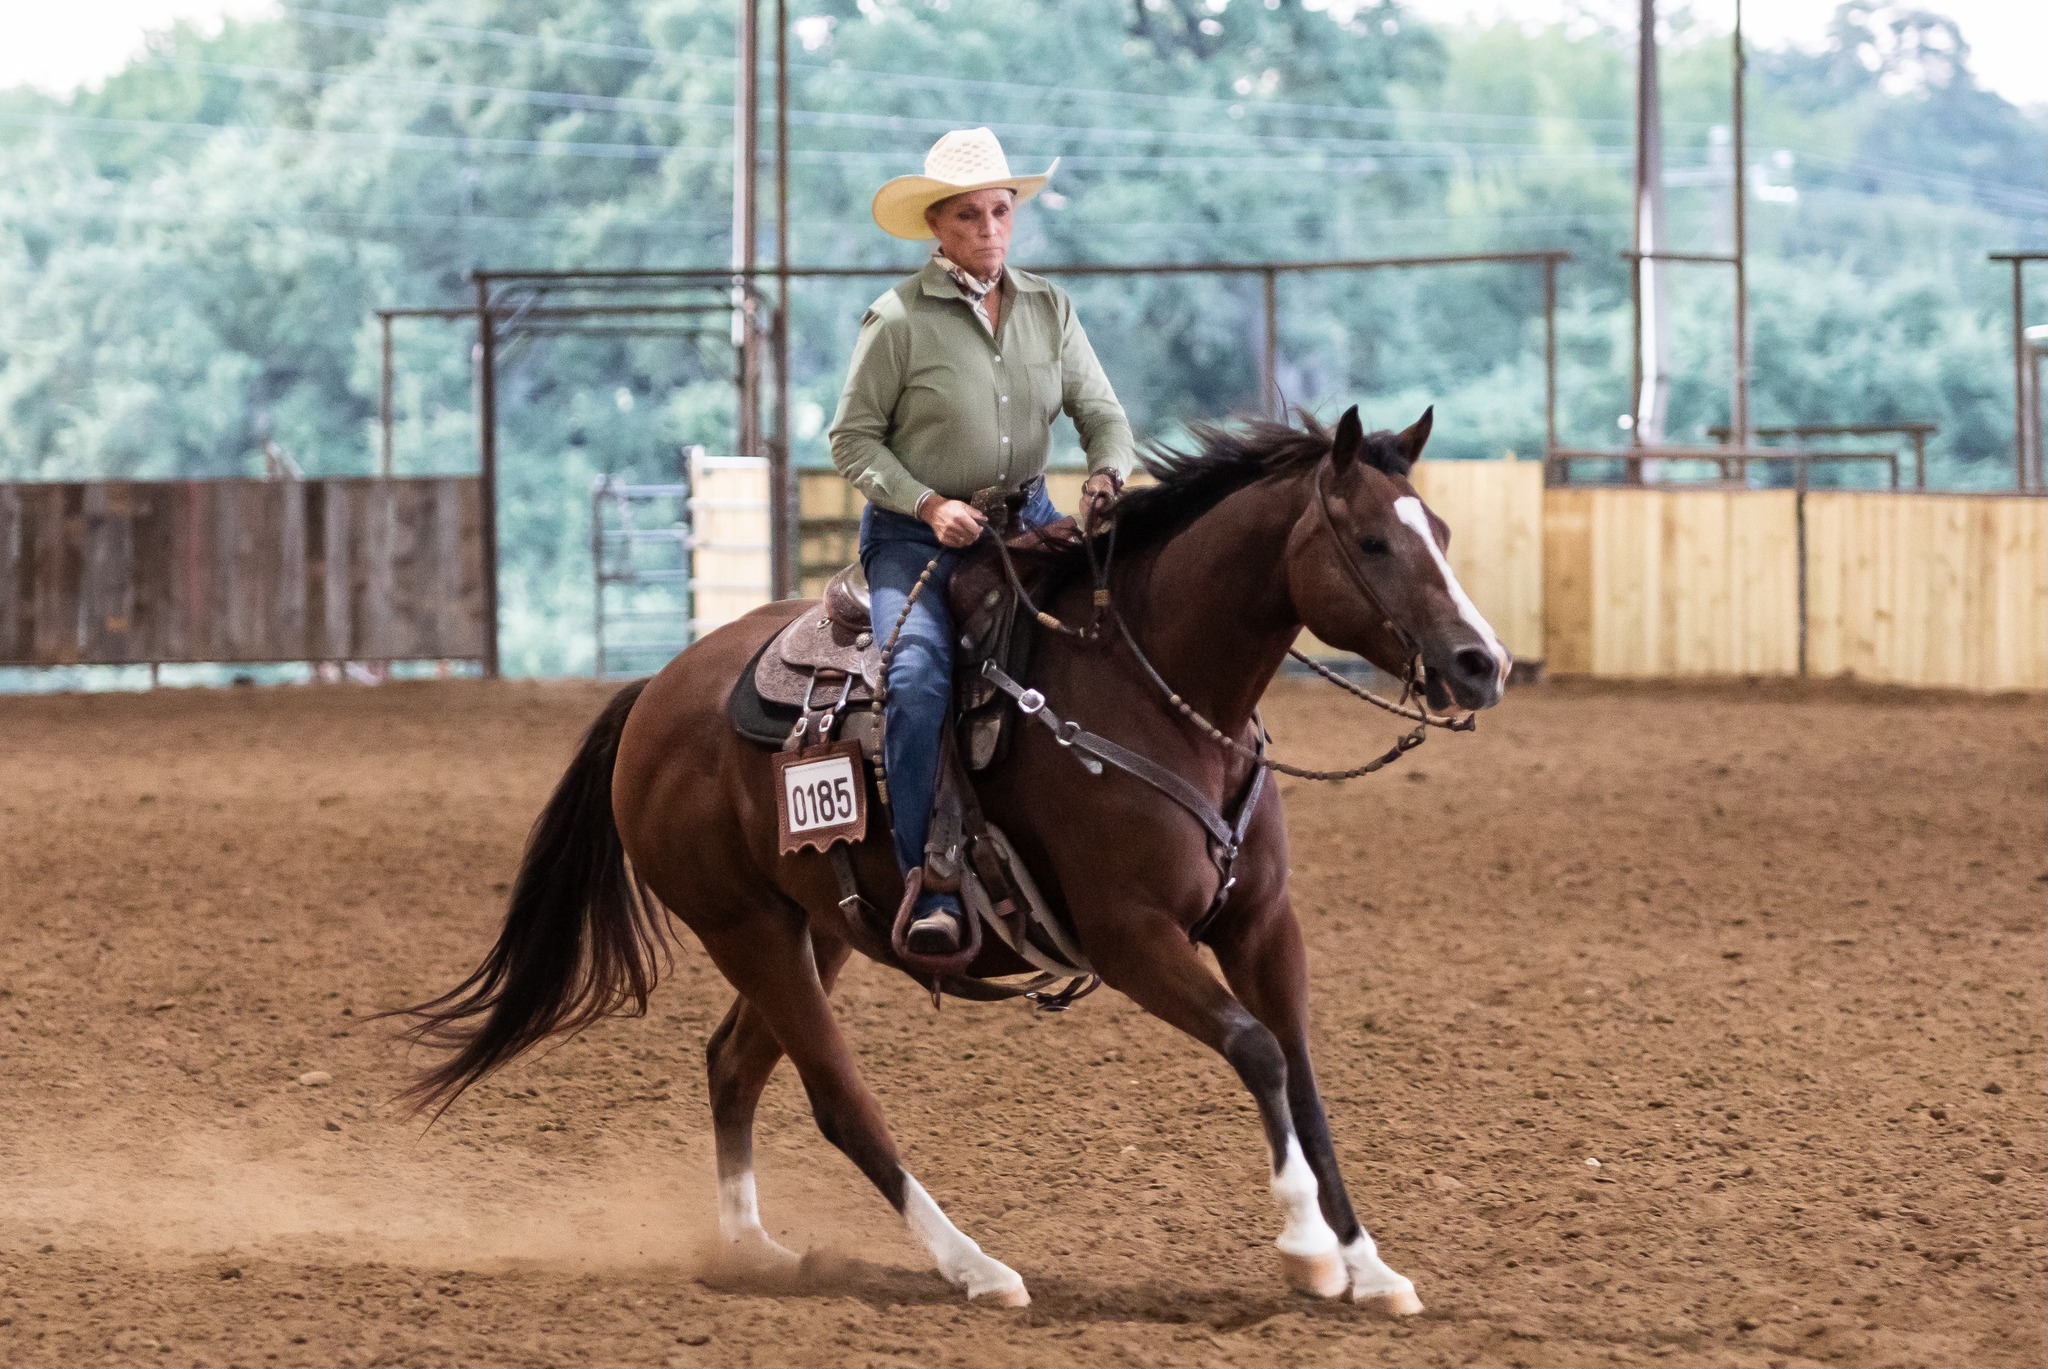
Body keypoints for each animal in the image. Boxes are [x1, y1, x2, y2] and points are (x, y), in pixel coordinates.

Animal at [397, 404, 1510, 1312]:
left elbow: (1305, 1078)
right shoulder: (1129, 936)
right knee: (839, 1099)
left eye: (1443, 531)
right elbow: (1257, 1050)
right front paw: (1306, 1249)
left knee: (733, 1064)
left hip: (818, 928)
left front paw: (1370, 1265)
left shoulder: (1261, 923)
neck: (1158, 699)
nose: (1481, 664)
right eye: (1373, 539)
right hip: (742, 928)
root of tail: (654, 695)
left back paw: (752, 1248)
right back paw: (974, 1266)